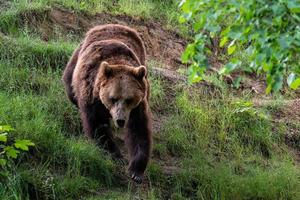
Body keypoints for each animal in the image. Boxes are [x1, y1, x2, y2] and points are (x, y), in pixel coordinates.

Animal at [62, 24, 152, 184]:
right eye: (113, 98)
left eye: (129, 99)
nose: (120, 120)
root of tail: (111, 24)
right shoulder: (91, 94)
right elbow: (98, 126)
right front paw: (116, 156)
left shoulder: (138, 106)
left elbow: (138, 130)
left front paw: (136, 171)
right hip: (76, 61)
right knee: (70, 88)